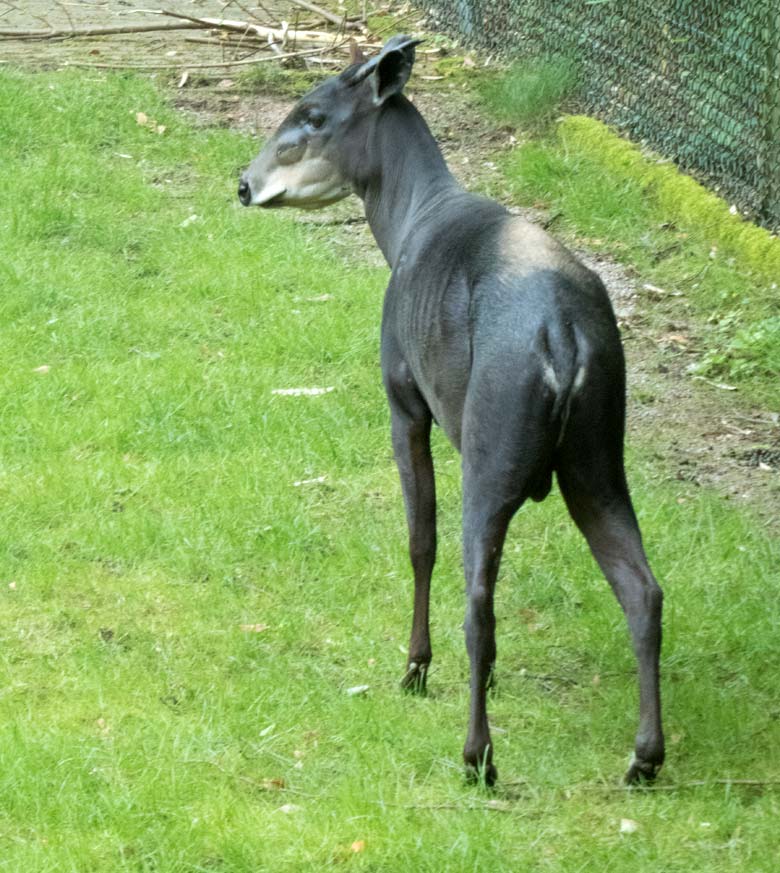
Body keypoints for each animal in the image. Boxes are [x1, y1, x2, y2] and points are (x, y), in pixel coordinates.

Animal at [238, 37, 664, 784]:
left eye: (312, 115)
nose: (244, 183)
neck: (412, 218)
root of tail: (564, 338)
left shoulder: (405, 400)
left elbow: (420, 539)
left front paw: (414, 667)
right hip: (598, 458)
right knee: (642, 590)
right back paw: (643, 759)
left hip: (493, 455)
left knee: (479, 603)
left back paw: (478, 756)